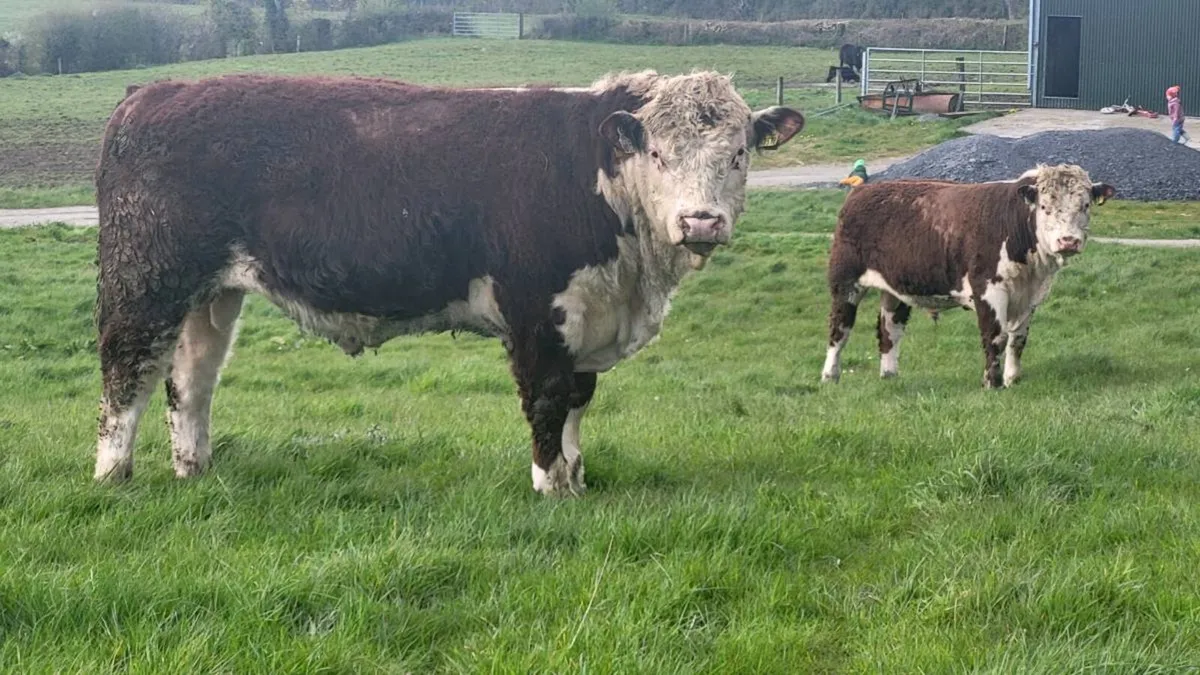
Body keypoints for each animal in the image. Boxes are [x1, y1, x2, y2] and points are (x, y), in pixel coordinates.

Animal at [91, 71, 805, 496]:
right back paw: (112, 475)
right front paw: (550, 487)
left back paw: (193, 470)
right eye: (658, 153)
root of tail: (158, 88)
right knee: (126, 373)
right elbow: (547, 399)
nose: (700, 220)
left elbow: (578, 400)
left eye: (738, 154)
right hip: (146, 277)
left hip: (210, 294)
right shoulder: (536, 310)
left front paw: (575, 477)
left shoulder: (586, 312)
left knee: (190, 381)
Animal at [819, 165, 1115, 390]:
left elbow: (1018, 339)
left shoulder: (1030, 296)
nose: (1068, 241)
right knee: (839, 329)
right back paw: (830, 376)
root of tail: (863, 191)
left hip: (895, 289)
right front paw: (993, 383)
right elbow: (995, 336)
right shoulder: (988, 289)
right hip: (845, 281)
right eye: (1044, 207)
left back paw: (889, 375)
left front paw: (1013, 379)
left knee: (889, 330)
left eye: (1085, 205)